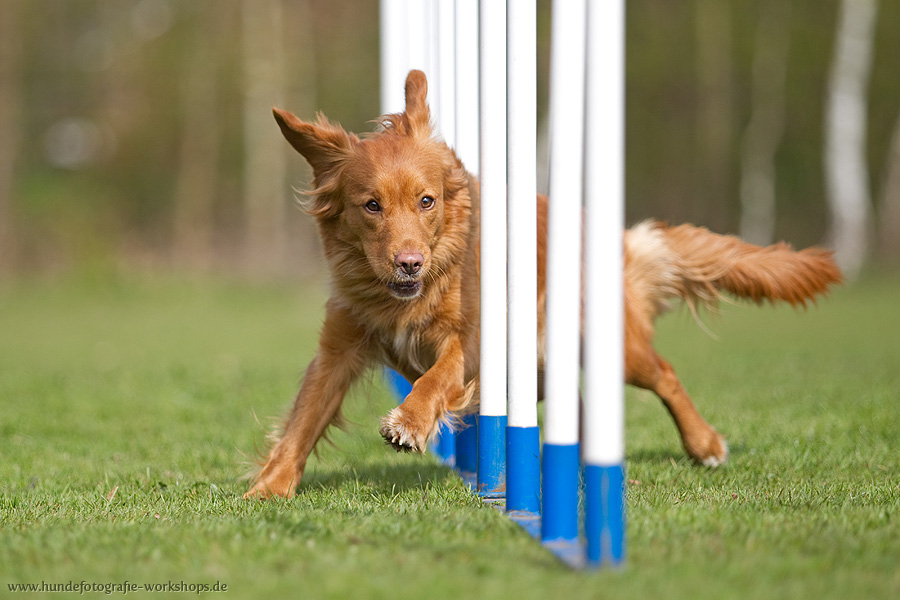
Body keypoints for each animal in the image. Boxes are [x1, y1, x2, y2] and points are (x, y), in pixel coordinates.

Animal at [243, 70, 840, 500]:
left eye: (426, 201)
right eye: (371, 206)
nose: (409, 263)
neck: (409, 295)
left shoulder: (472, 342)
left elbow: (436, 379)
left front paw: (409, 422)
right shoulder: (339, 349)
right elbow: (303, 421)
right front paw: (267, 491)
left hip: (605, 345)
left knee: (665, 374)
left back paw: (704, 444)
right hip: (540, 373)